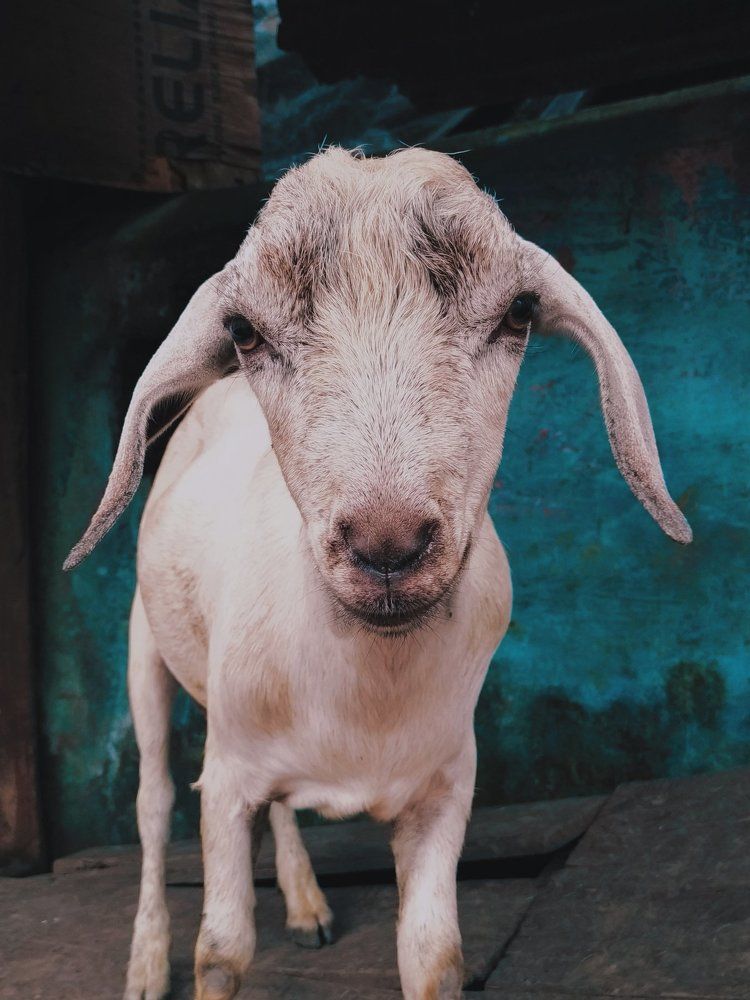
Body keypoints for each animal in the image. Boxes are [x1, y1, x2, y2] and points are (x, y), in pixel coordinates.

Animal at [64, 147, 692, 1000]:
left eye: (518, 314)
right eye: (243, 331)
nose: (387, 543)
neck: (364, 698)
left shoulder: (445, 788)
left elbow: (435, 955)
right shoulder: (224, 783)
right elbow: (221, 949)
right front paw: (184, 955)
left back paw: (305, 904)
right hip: (145, 651)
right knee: (154, 804)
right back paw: (143, 961)